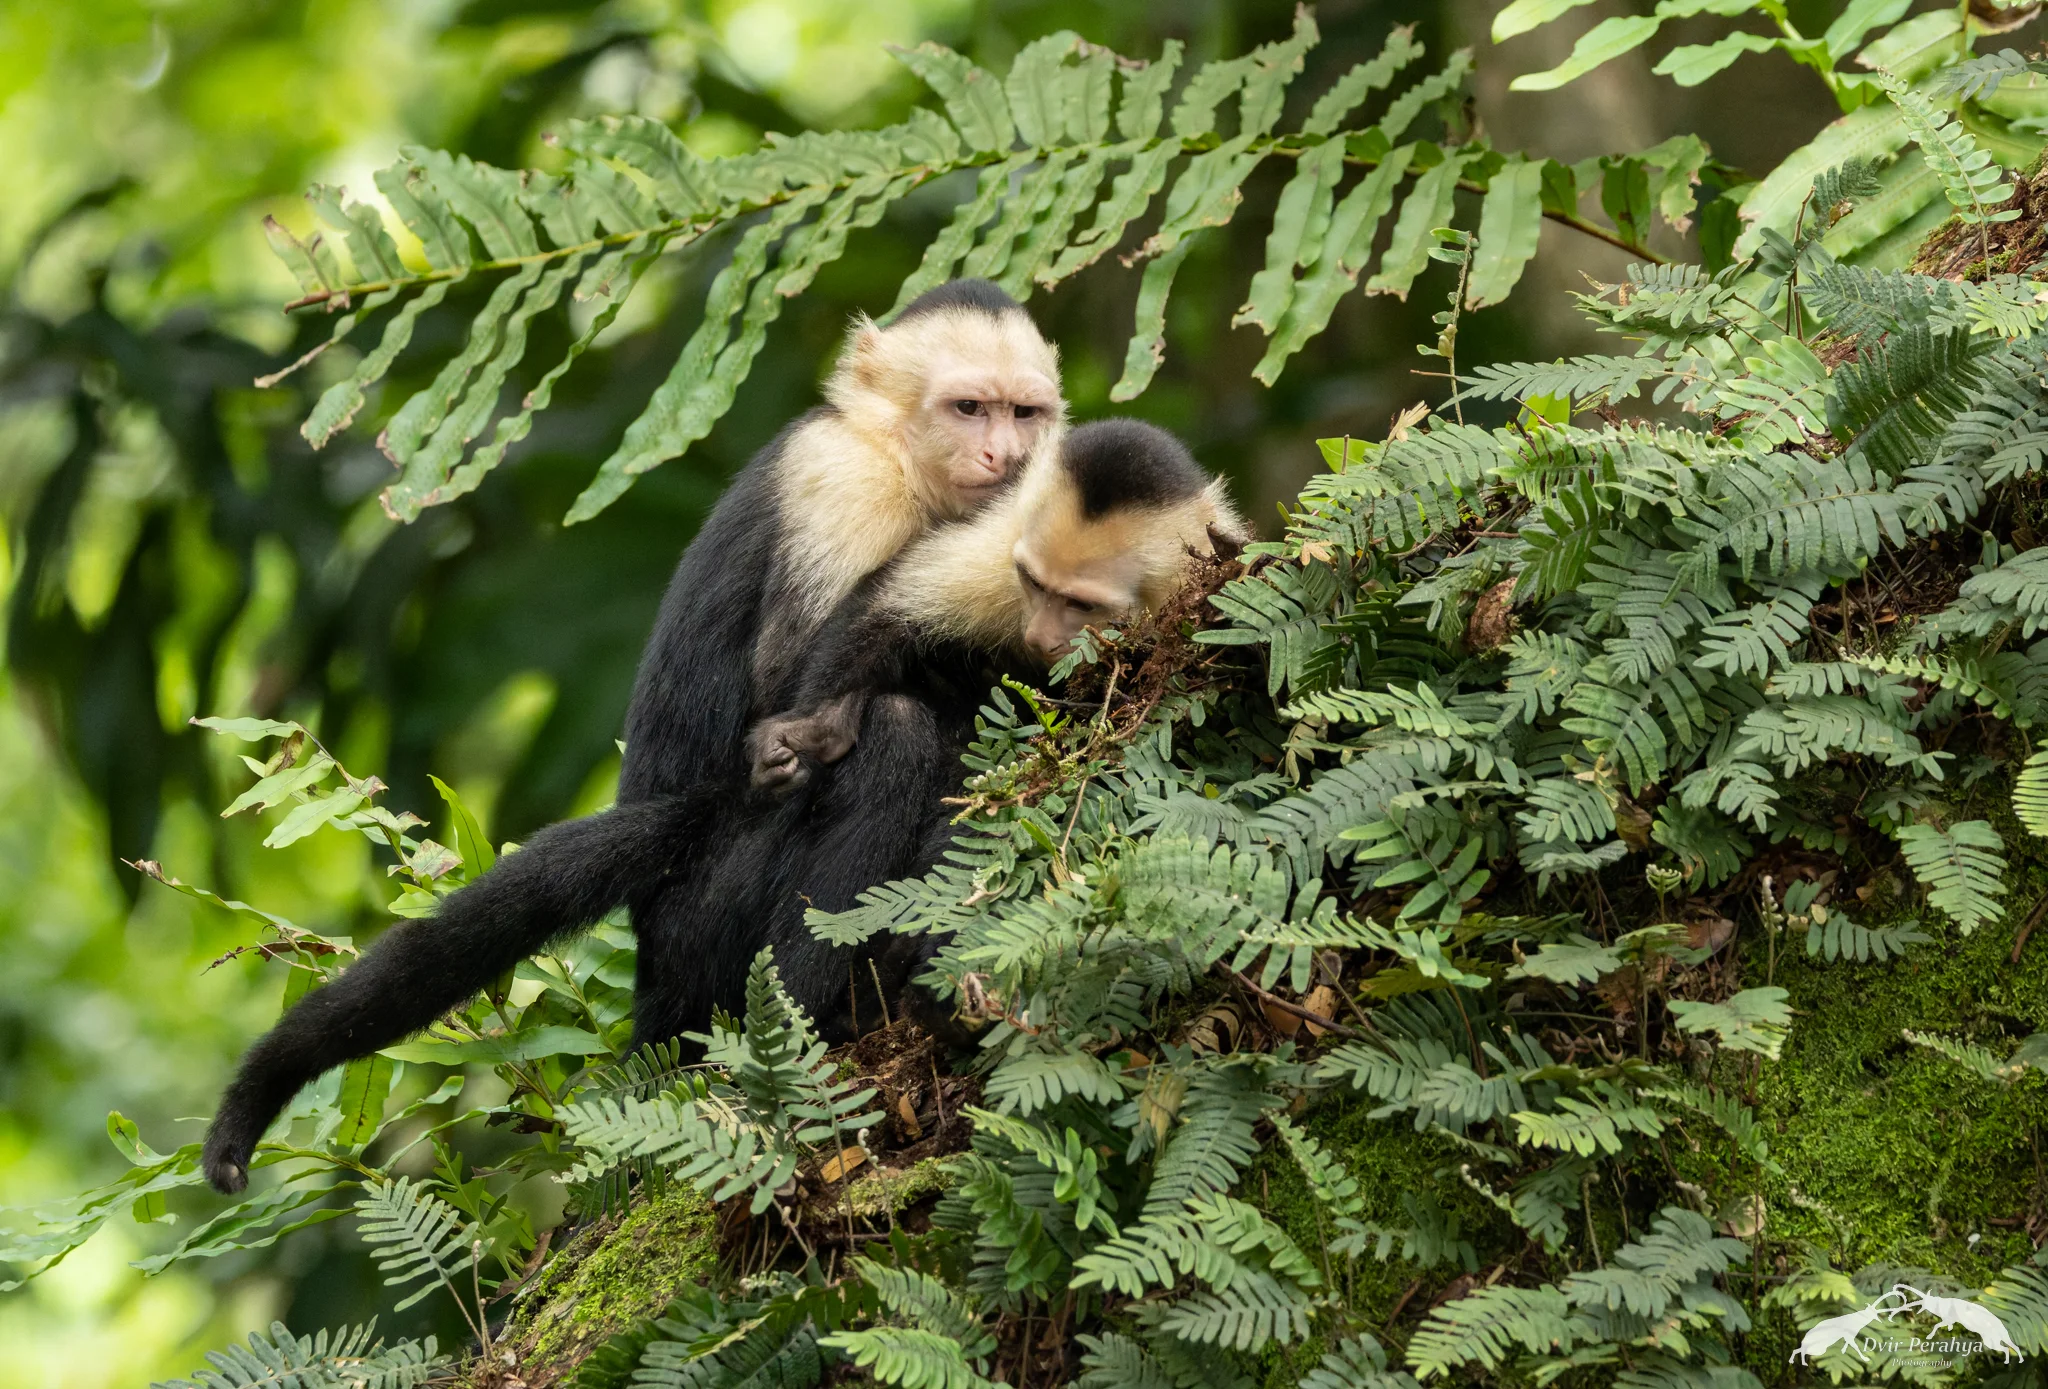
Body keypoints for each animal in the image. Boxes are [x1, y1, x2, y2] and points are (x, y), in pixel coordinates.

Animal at [199, 281, 1064, 1194]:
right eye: (968, 409)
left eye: (1025, 413)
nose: (1005, 455)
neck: (900, 460)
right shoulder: (843, 485)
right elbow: (798, 703)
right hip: (705, 925)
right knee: (886, 739)